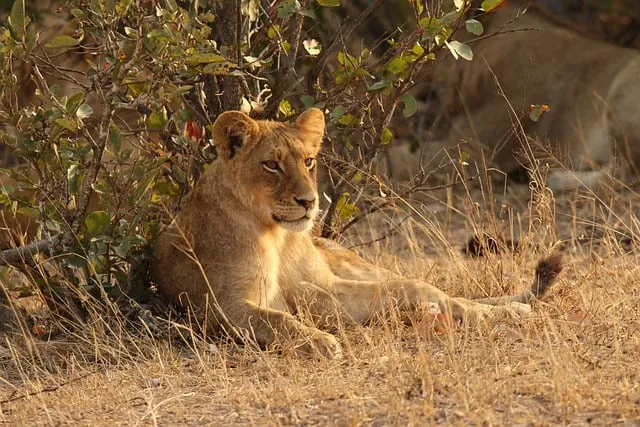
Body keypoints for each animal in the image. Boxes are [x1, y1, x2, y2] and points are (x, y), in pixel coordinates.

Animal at [151, 108, 563, 359]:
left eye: (309, 161)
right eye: (271, 165)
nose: (309, 201)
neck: (277, 235)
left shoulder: (322, 287)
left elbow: (394, 291)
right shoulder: (222, 305)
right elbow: (277, 319)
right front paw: (319, 341)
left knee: (436, 291)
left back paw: (505, 311)